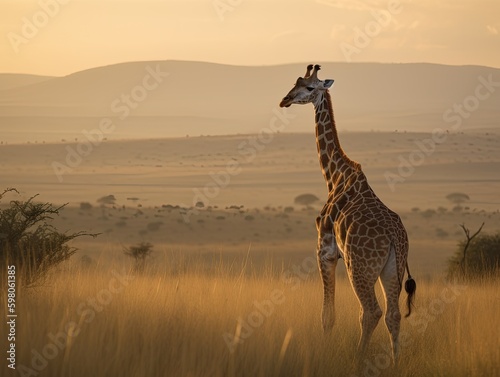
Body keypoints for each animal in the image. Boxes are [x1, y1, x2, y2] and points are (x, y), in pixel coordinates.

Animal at [280, 64, 416, 362]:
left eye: (310, 87)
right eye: (296, 82)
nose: (285, 100)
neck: (334, 176)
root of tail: (393, 237)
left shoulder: (325, 250)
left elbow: (327, 315)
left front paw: (323, 353)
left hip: (360, 267)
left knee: (371, 311)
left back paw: (358, 360)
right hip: (393, 268)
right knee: (393, 314)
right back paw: (395, 363)